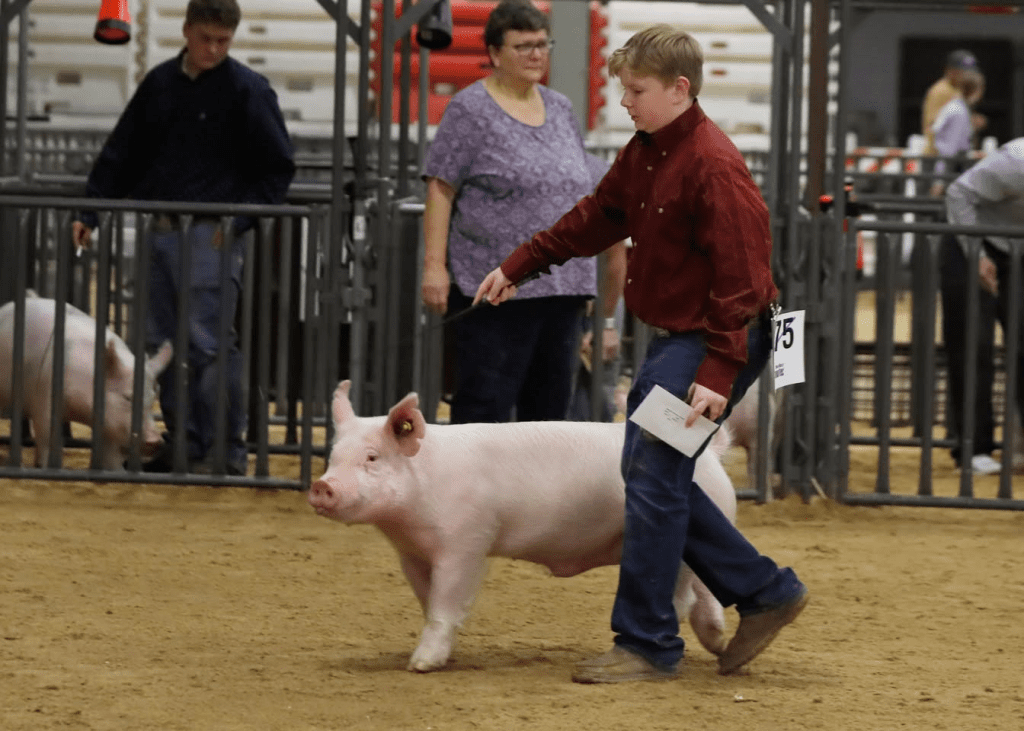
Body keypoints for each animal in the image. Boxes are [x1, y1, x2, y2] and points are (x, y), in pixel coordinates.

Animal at [0, 294, 173, 470]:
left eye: (154, 396)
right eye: (127, 397)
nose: (156, 440)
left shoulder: (109, 423)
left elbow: (111, 452)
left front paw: (118, 471)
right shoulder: (44, 394)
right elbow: (46, 437)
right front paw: (44, 467)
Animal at [309, 380, 738, 673]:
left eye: (372, 457)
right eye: (333, 455)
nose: (321, 485)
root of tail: (710, 454)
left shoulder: (467, 541)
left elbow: (445, 601)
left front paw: (420, 665)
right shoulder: (411, 555)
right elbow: (427, 599)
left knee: (686, 594)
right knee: (707, 590)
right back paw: (721, 648)